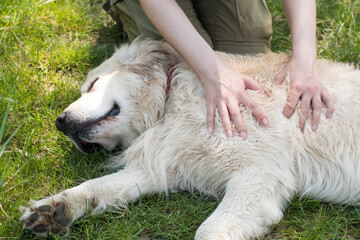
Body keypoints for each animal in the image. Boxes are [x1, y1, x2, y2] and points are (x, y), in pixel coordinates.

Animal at [20, 39, 360, 238]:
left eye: (92, 84)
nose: (60, 123)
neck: (169, 104)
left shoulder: (259, 174)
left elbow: (210, 230)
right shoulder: (163, 166)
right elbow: (98, 187)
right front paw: (55, 209)